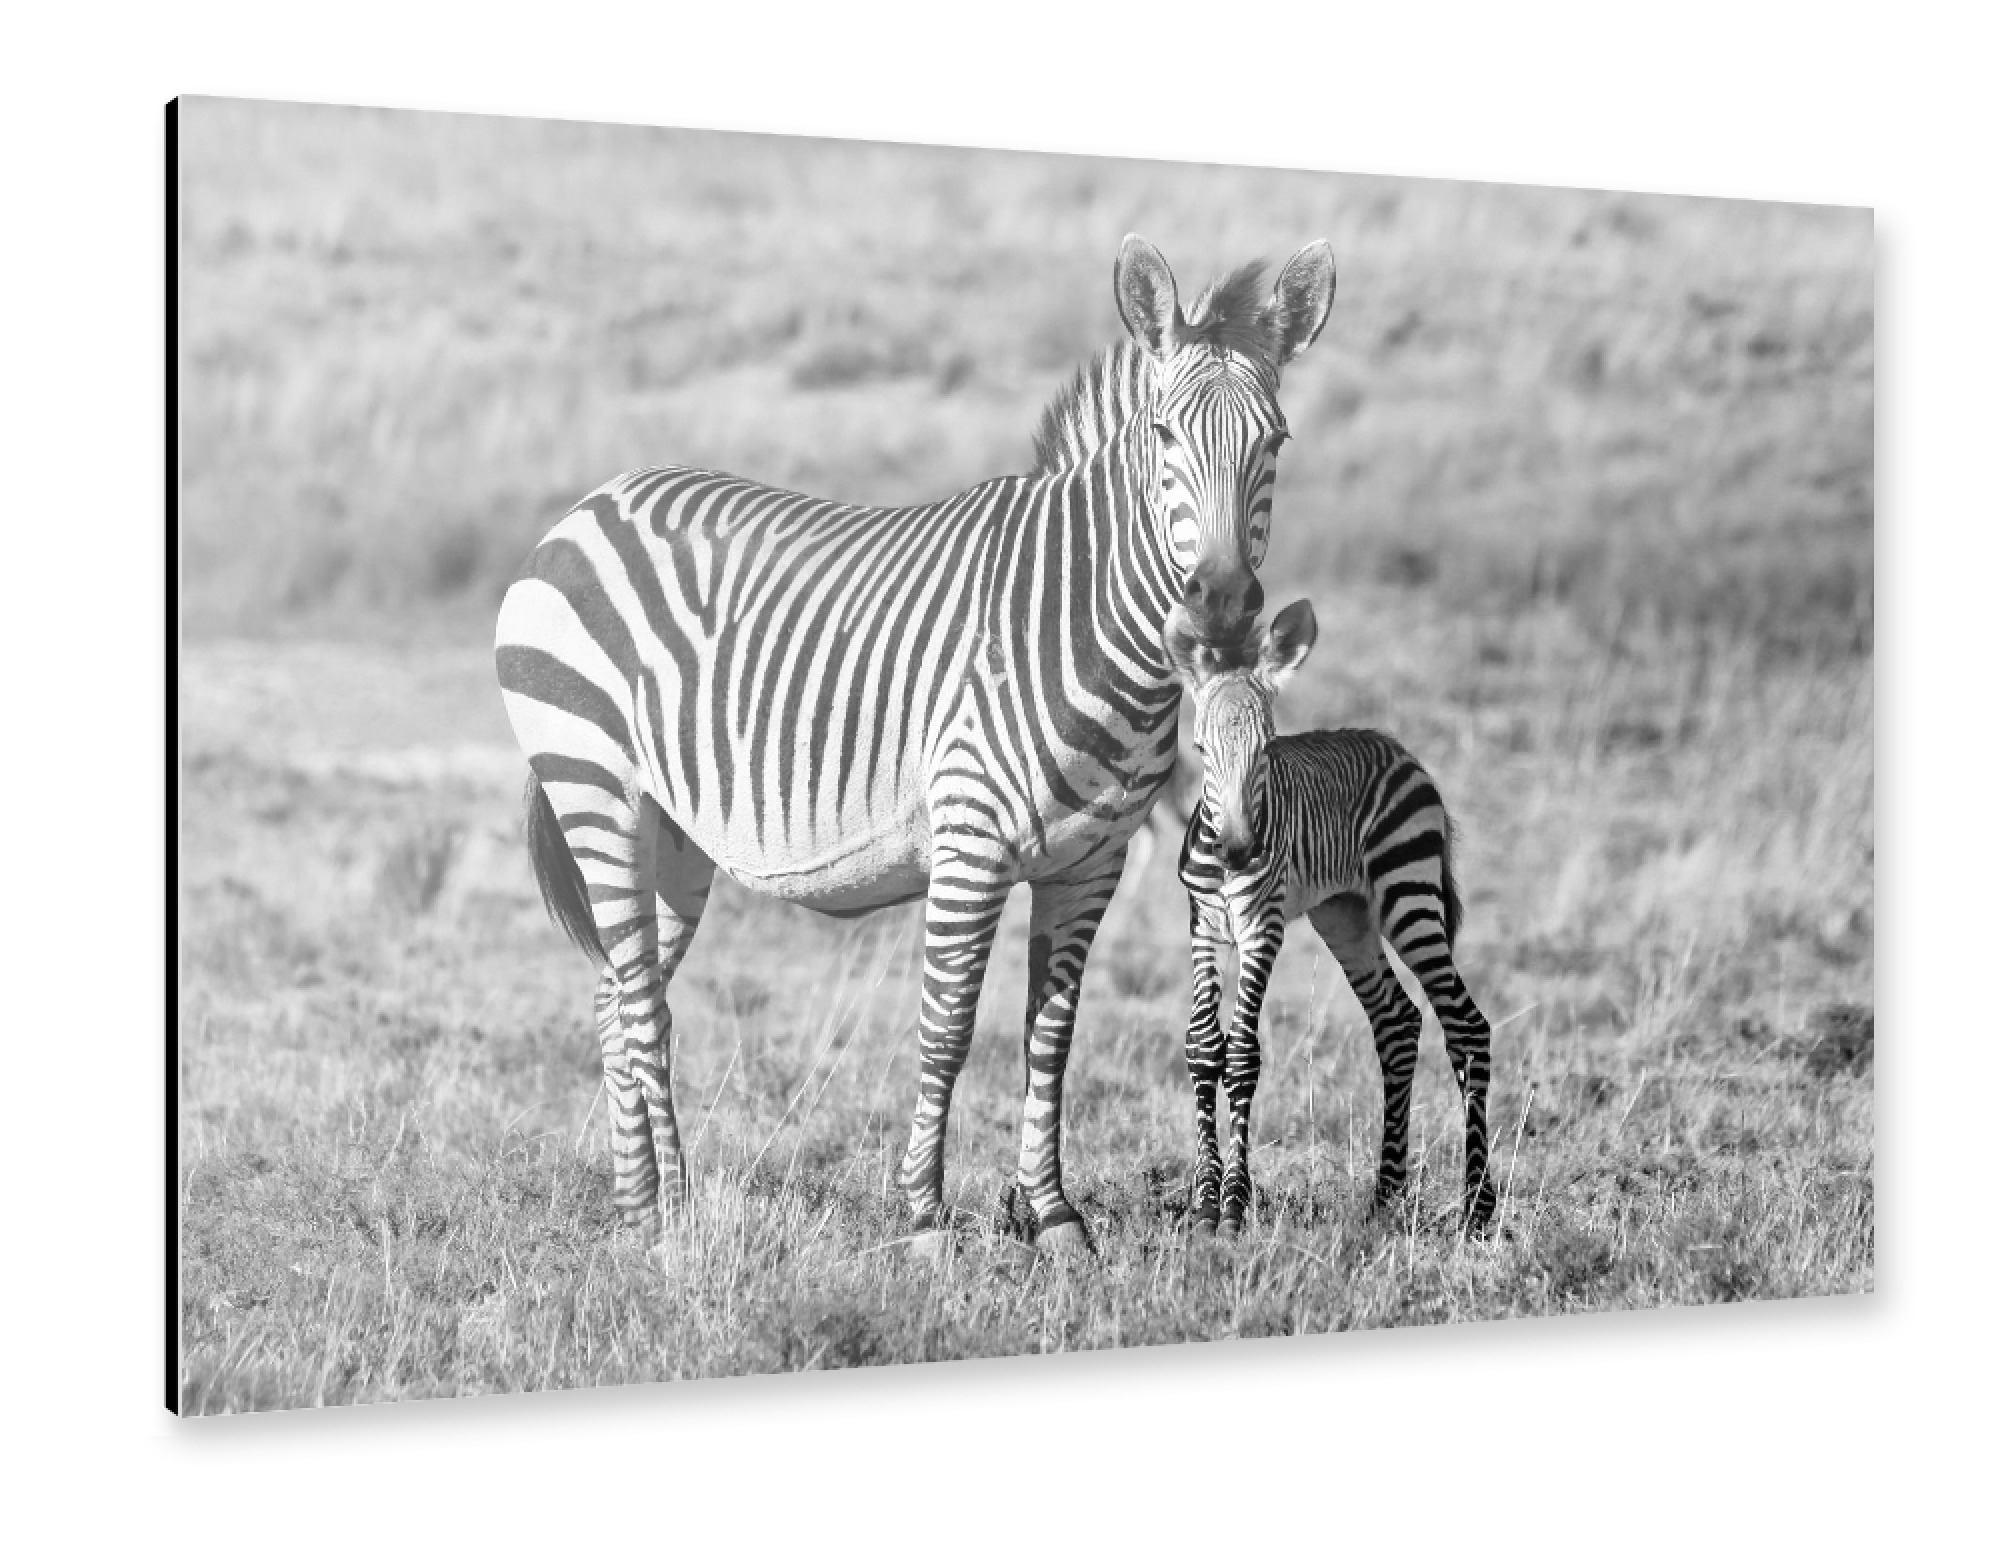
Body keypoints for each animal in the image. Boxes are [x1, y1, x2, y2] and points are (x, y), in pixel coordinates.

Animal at [495, 235, 1337, 1258]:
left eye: (1276, 443)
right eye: (1164, 436)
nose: (1219, 607)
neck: (1084, 624)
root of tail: (592, 503)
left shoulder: (1090, 864)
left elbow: (1050, 1035)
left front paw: (1053, 1214)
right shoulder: (970, 842)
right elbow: (948, 1026)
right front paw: (926, 1218)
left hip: (674, 835)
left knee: (619, 994)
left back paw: (651, 1204)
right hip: (595, 785)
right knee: (642, 1003)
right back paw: (659, 1218)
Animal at [1163, 598, 1497, 1238]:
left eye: (1267, 751)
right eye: (1199, 750)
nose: (1238, 852)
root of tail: (1399, 751)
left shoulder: (1262, 925)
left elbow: (1241, 1053)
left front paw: (1235, 1205)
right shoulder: (1201, 925)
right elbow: (1203, 1046)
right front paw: (1204, 1201)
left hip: (1409, 896)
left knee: (1467, 1026)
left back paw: (1478, 1209)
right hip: (1345, 916)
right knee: (1398, 1020)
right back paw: (1384, 1197)